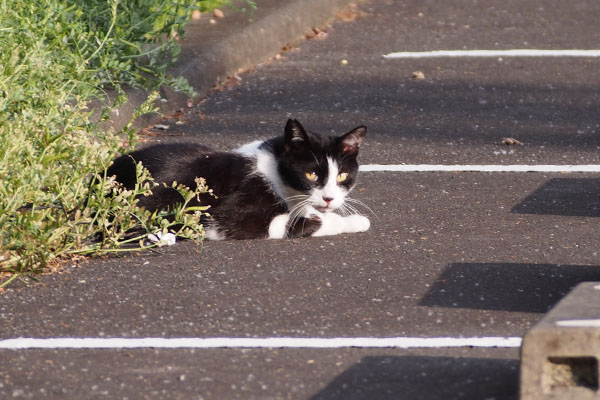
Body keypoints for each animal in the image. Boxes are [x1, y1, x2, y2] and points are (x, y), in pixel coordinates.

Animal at [108, 117, 370, 239]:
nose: (329, 198)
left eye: (342, 175)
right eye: (311, 174)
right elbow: (309, 222)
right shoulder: (226, 220)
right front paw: (350, 221)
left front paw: (354, 220)